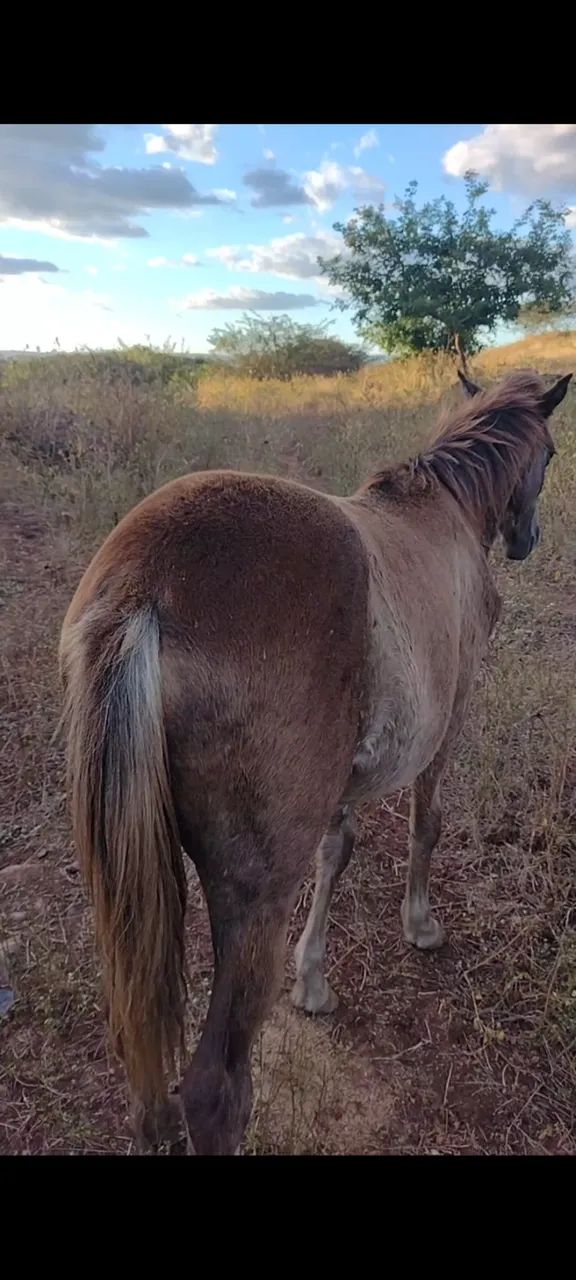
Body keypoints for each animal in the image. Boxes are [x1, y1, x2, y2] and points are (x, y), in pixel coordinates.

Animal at [59, 367, 571, 1155]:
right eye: (547, 454)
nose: (527, 539)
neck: (445, 509)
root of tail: (145, 592)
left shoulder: (345, 779)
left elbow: (339, 850)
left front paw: (312, 981)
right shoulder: (448, 722)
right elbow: (427, 824)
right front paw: (419, 925)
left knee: (146, 1085)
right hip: (254, 898)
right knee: (216, 1091)